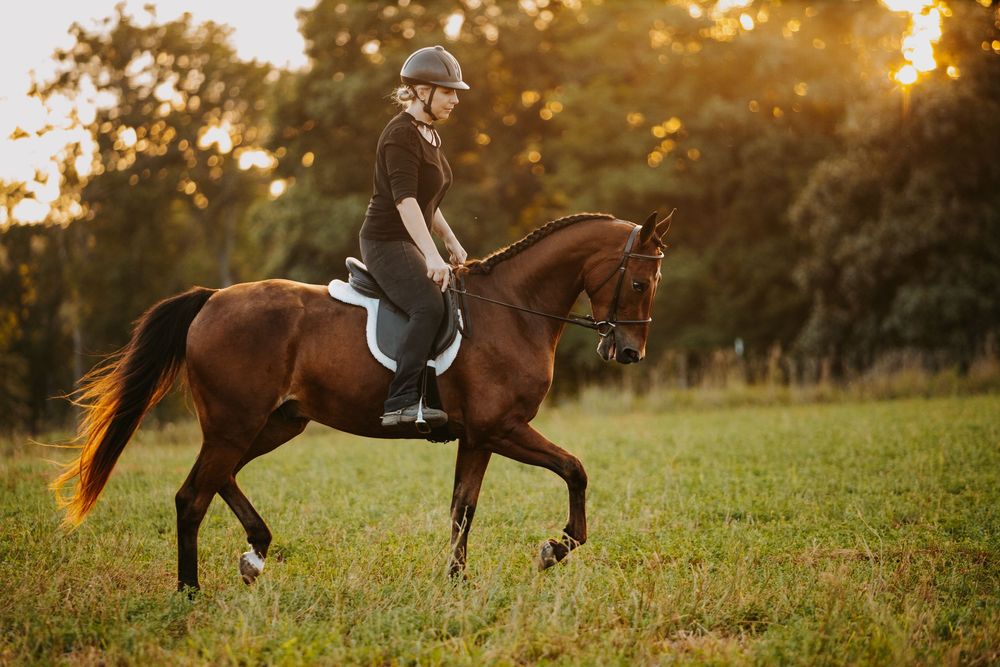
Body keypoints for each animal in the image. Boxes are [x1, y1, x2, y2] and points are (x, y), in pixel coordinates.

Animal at [51, 211, 671, 591]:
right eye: (641, 283)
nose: (628, 352)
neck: (513, 309)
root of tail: (211, 300)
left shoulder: (477, 438)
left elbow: (462, 510)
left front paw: (457, 584)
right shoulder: (503, 428)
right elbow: (575, 469)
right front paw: (555, 548)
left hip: (273, 424)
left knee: (217, 479)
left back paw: (255, 553)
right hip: (236, 424)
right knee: (192, 497)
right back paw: (190, 591)